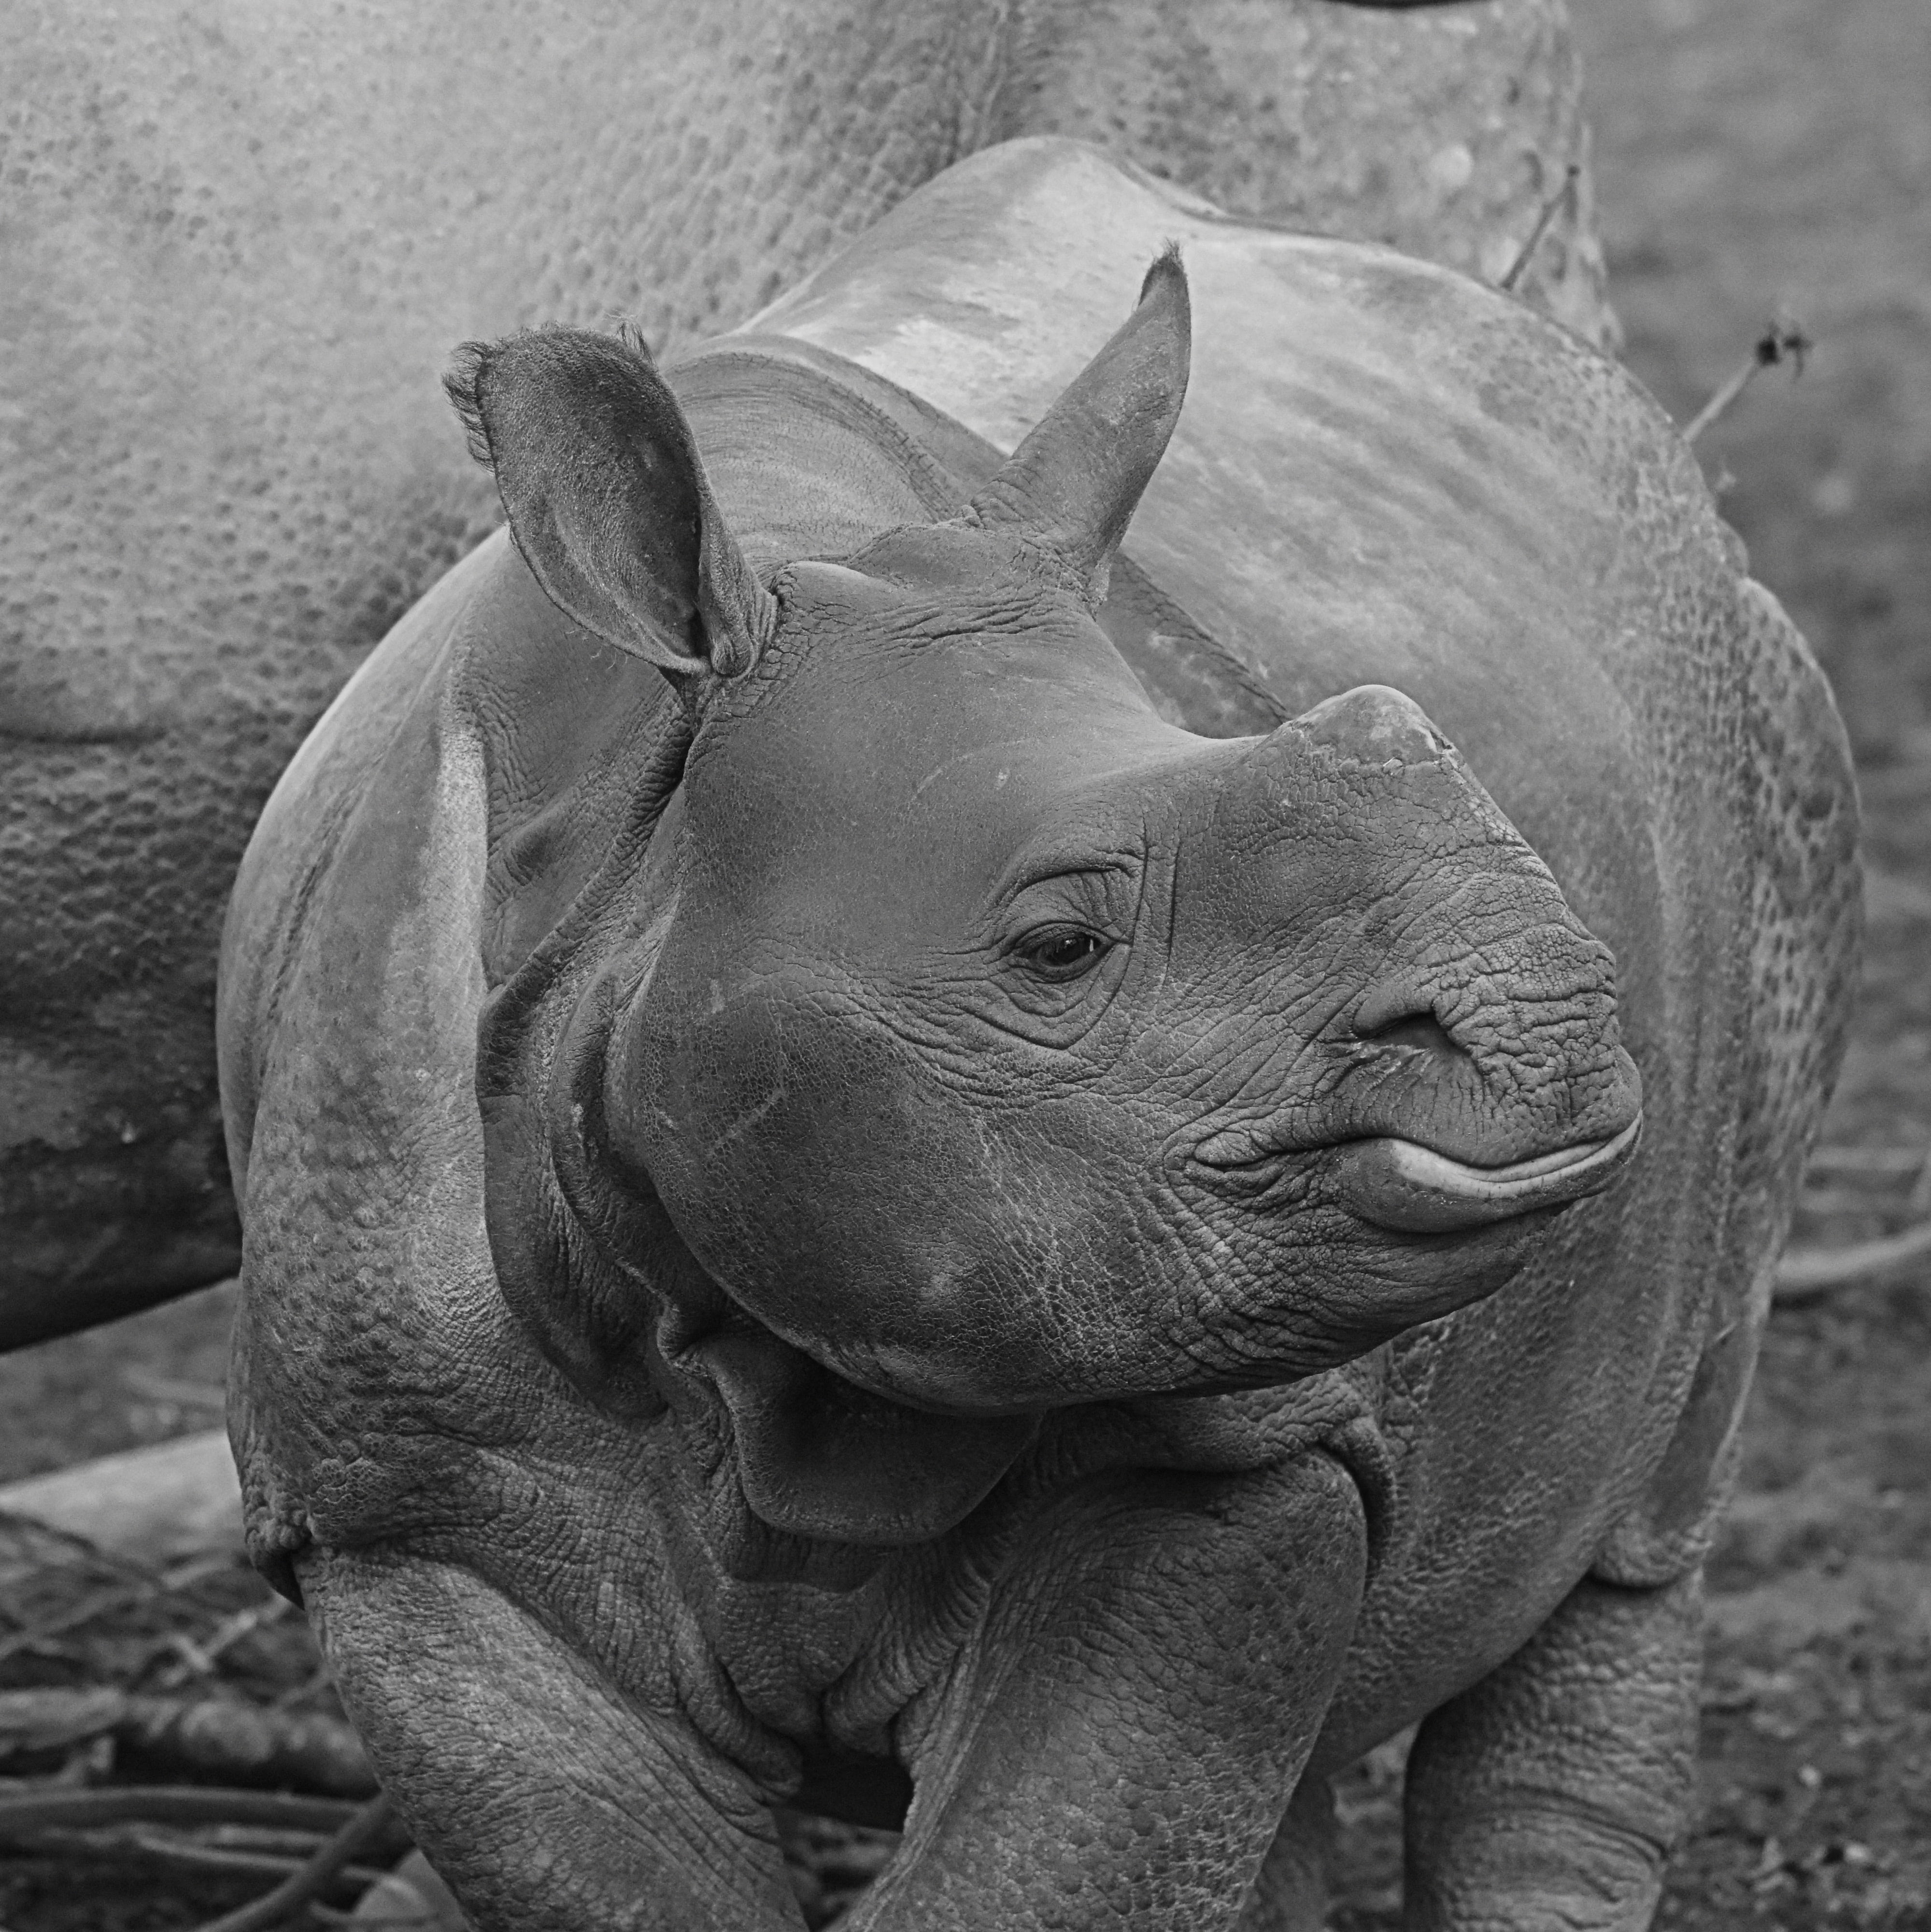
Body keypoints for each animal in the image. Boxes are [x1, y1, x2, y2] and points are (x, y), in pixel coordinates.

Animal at [216, 139, 1857, 1928]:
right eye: (1057, 948)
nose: (1551, 1012)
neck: (640, 832)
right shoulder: (406, 1520)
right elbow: (622, 1872)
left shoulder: (1230, 1452)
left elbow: (1054, 1858)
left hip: (1767, 730)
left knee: (1639, 1516)